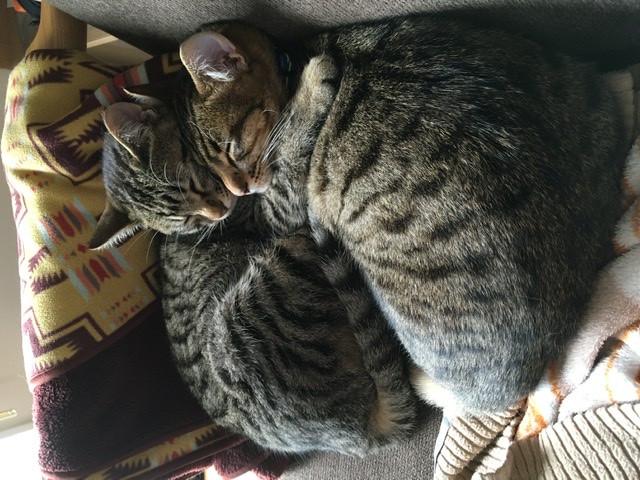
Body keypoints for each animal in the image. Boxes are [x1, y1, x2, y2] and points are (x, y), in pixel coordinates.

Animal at [89, 100, 418, 454]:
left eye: (193, 184)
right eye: (189, 218)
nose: (219, 212)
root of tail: (351, 431)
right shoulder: (275, 215)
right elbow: (288, 162)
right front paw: (310, 95)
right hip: (284, 261)